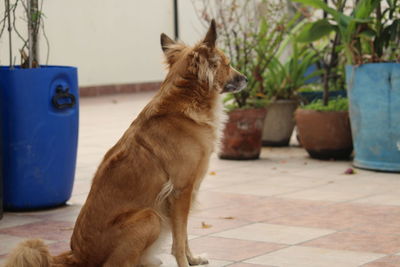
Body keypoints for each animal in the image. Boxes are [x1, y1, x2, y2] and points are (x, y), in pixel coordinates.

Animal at [3, 19, 247, 267]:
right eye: (228, 64)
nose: (245, 78)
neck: (185, 104)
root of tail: (76, 255)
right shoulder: (181, 191)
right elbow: (179, 238)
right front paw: (184, 262)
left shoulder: (185, 194)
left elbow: (184, 235)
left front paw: (192, 258)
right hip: (150, 217)